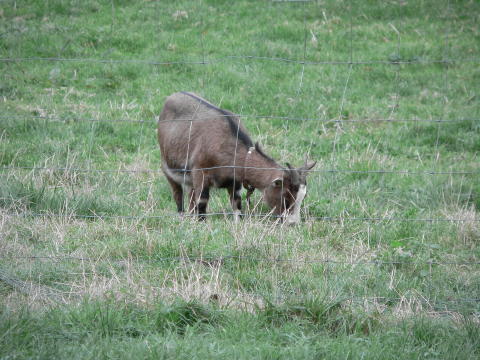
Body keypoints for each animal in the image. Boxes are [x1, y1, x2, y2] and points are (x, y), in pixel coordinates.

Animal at [157, 91, 316, 224]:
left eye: (303, 197)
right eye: (286, 197)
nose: (293, 223)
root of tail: (173, 95)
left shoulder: (235, 181)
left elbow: (237, 203)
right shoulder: (200, 172)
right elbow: (201, 201)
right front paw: (201, 224)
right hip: (167, 167)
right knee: (177, 193)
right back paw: (181, 216)